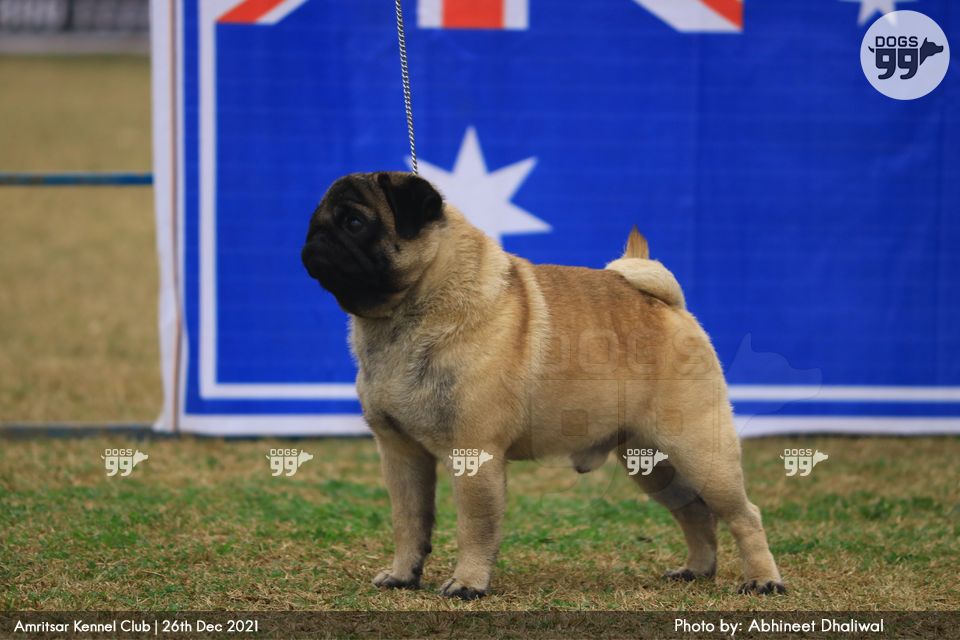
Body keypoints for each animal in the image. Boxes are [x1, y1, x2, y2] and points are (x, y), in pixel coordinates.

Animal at [301, 171, 784, 599]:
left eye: (354, 222)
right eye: (316, 220)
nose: (315, 238)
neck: (405, 315)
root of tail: (668, 306)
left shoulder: (475, 454)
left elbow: (475, 526)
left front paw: (468, 584)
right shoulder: (400, 453)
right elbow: (408, 523)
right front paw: (403, 575)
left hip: (699, 449)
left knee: (744, 515)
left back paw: (763, 580)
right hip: (651, 461)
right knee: (695, 513)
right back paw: (697, 570)